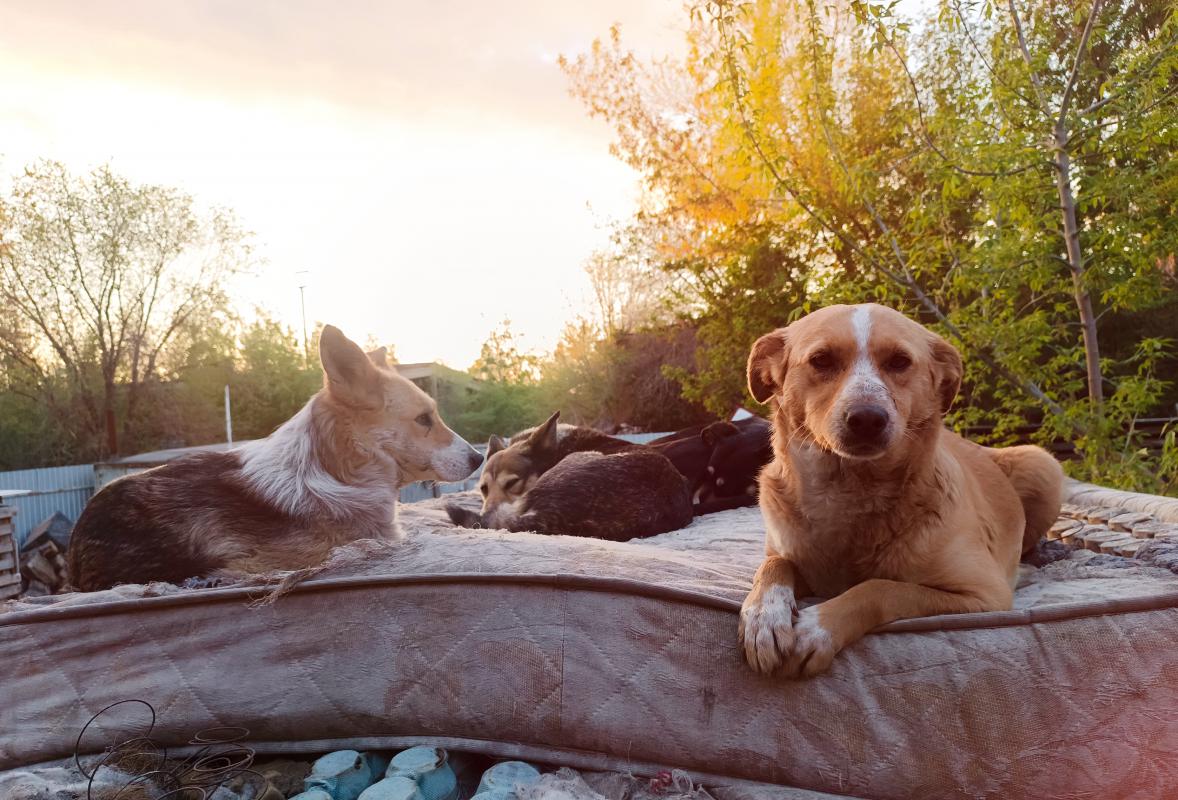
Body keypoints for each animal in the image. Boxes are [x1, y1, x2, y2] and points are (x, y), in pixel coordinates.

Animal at [739, 303, 1064, 678]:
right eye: (821, 360)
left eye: (899, 361)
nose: (867, 419)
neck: (852, 491)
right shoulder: (788, 553)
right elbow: (773, 565)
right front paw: (763, 617)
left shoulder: (985, 594)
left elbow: (882, 588)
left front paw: (818, 627)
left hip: (1043, 464)